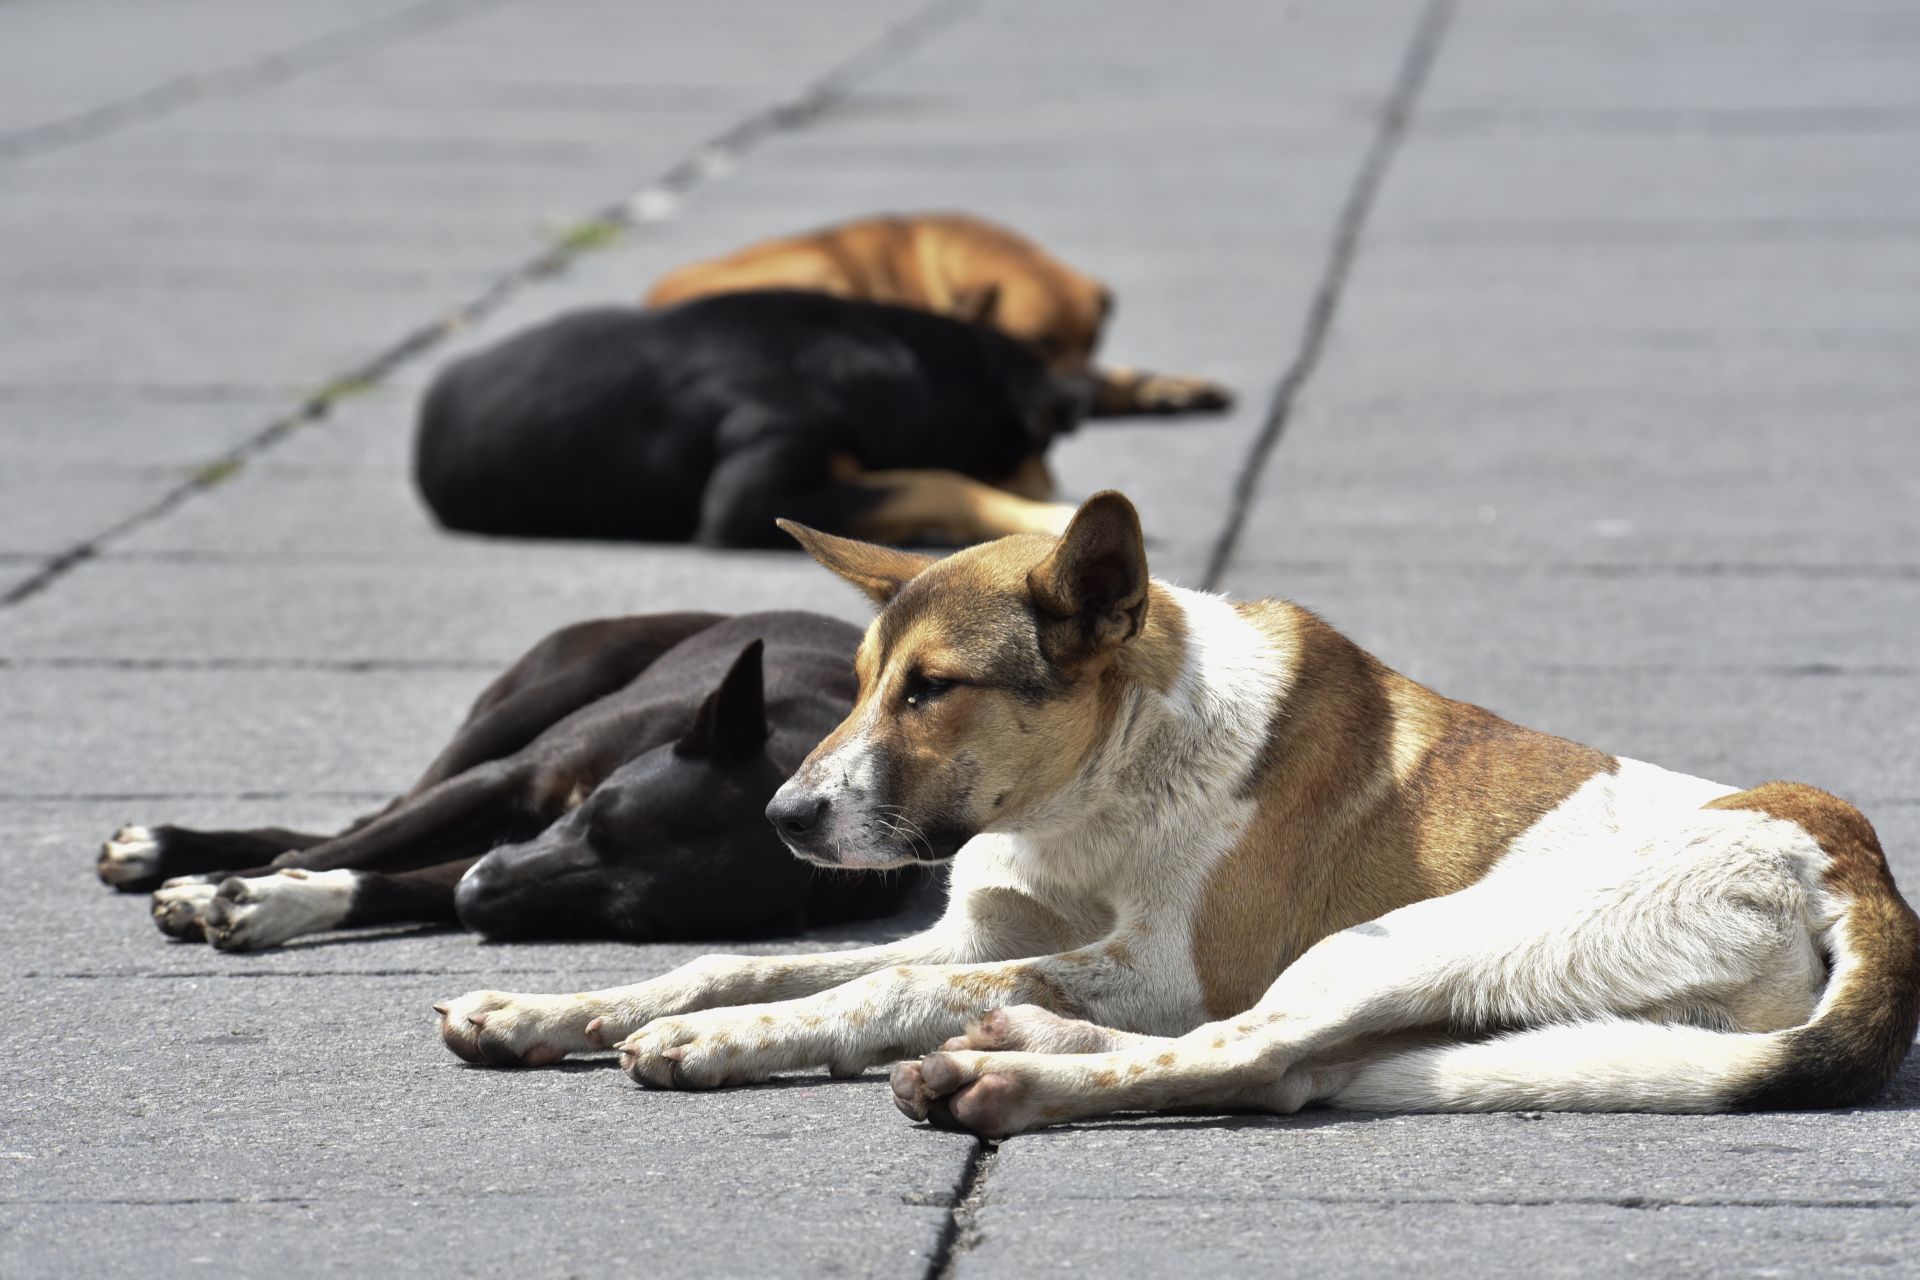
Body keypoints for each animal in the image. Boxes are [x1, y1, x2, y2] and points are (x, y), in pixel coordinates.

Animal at [93, 610, 917, 951]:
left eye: (623, 920)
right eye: (593, 818)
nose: (476, 898)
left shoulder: (504, 859)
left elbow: (388, 879)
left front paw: (277, 901)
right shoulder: (505, 788)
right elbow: (352, 849)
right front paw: (221, 886)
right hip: (528, 705)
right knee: (367, 820)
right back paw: (171, 849)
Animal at [435, 495, 1920, 1143]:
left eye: (933, 690)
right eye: (855, 684)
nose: (787, 817)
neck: (1100, 782)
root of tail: (1852, 861)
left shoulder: (1165, 965)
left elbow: (862, 994)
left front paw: (724, 1044)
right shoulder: (977, 928)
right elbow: (742, 957)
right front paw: (549, 1009)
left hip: (1398, 943)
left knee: (1243, 1049)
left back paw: (1007, 1078)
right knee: (1283, 1070)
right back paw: (1017, 1048)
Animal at [652, 213, 1236, 418]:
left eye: (1093, 341)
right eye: (1034, 342)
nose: (1075, 404)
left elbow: (1113, 377)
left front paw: (1169, 387)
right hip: (815, 272)